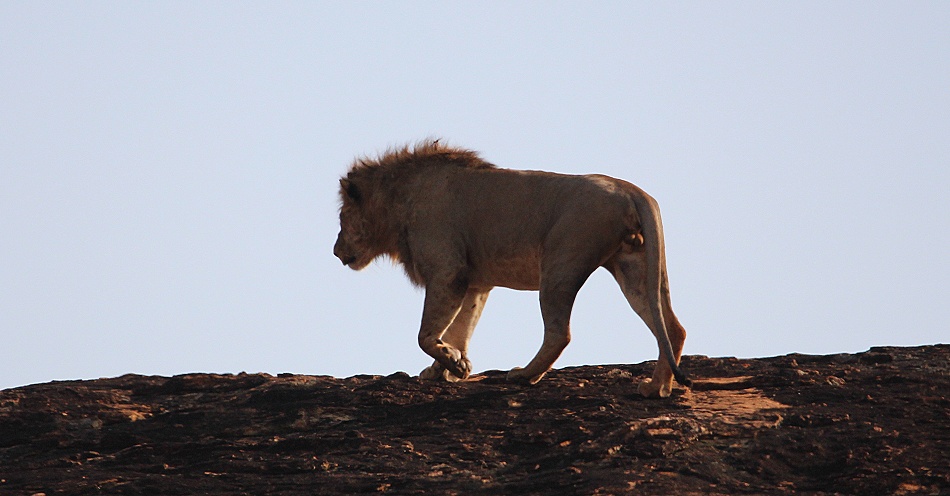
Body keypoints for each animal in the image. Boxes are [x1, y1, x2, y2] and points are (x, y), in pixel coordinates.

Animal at [333, 140, 691, 398]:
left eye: (341, 218)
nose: (336, 252)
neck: (398, 203)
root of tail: (630, 189)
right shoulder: (475, 283)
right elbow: (461, 328)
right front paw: (447, 368)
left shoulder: (449, 270)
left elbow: (426, 334)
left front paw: (453, 365)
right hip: (634, 268)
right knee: (672, 327)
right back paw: (656, 389)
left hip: (560, 264)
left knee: (559, 333)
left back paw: (523, 375)